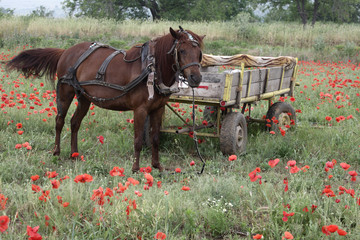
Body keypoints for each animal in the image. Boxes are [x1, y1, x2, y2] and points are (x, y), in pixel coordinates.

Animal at [5, 27, 204, 172]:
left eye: (200, 53)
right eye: (182, 50)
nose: (196, 78)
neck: (152, 68)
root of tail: (66, 51)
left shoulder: (158, 108)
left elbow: (155, 138)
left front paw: (157, 166)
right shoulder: (140, 110)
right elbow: (138, 140)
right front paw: (136, 168)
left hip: (84, 98)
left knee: (74, 122)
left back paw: (74, 154)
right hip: (65, 92)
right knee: (59, 121)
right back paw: (57, 152)